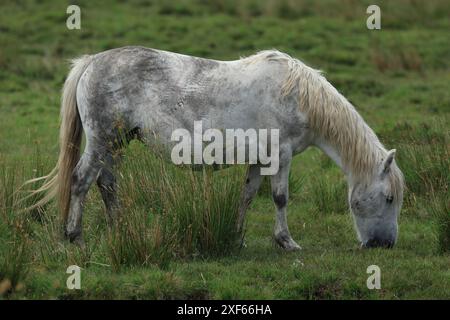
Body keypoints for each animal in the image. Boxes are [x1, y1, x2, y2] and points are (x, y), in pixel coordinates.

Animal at [30, 47, 404, 251]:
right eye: (388, 198)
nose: (385, 245)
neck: (297, 96)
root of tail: (92, 62)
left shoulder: (261, 159)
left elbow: (248, 195)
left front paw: (237, 238)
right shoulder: (280, 156)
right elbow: (280, 198)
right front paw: (286, 241)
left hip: (116, 143)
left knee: (107, 183)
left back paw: (119, 230)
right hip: (102, 140)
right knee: (81, 181)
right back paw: (75, 237)